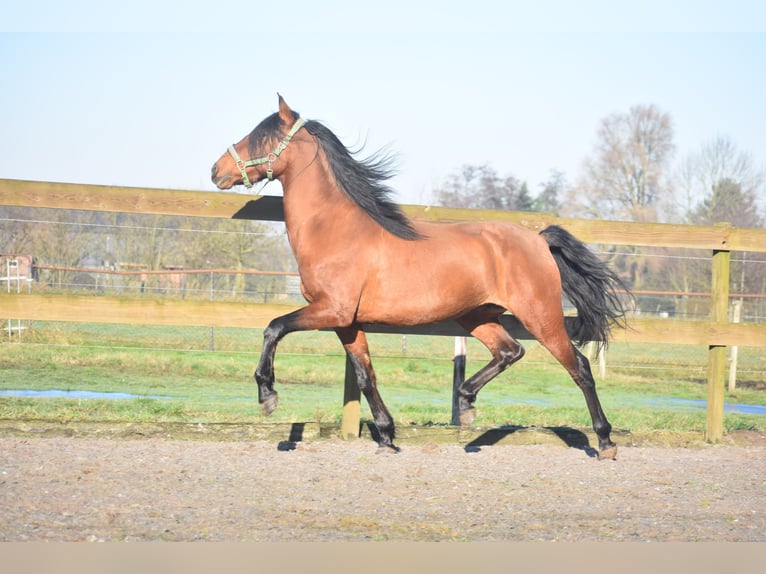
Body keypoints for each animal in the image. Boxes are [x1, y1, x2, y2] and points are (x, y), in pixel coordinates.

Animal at [210, 97, 632, 462]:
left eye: (260, 137)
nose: (216, 170)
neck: (335, 230)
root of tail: (540, 240)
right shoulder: (346, 322)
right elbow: (365, 376)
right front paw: (387, 437)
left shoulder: (330, 310)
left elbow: (274, 327)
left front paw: (267, 396)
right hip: (477, 316)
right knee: (510, 351)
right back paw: (465, 403)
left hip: (540, 316)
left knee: (579, 368)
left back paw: (605, 441)